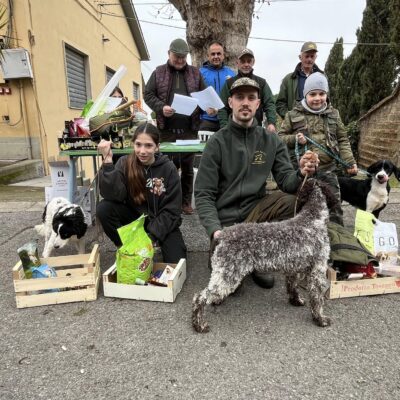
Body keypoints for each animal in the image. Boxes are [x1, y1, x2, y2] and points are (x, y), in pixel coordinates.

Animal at [192, 179, 337, 333]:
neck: (312, 218)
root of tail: (224, 234)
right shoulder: (318, 271)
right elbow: (317, 299)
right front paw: (320, 319)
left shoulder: (294, 270)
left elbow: (293, 287)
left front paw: (296, 301)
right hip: (229, 275)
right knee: (199, 297)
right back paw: (199, 324)